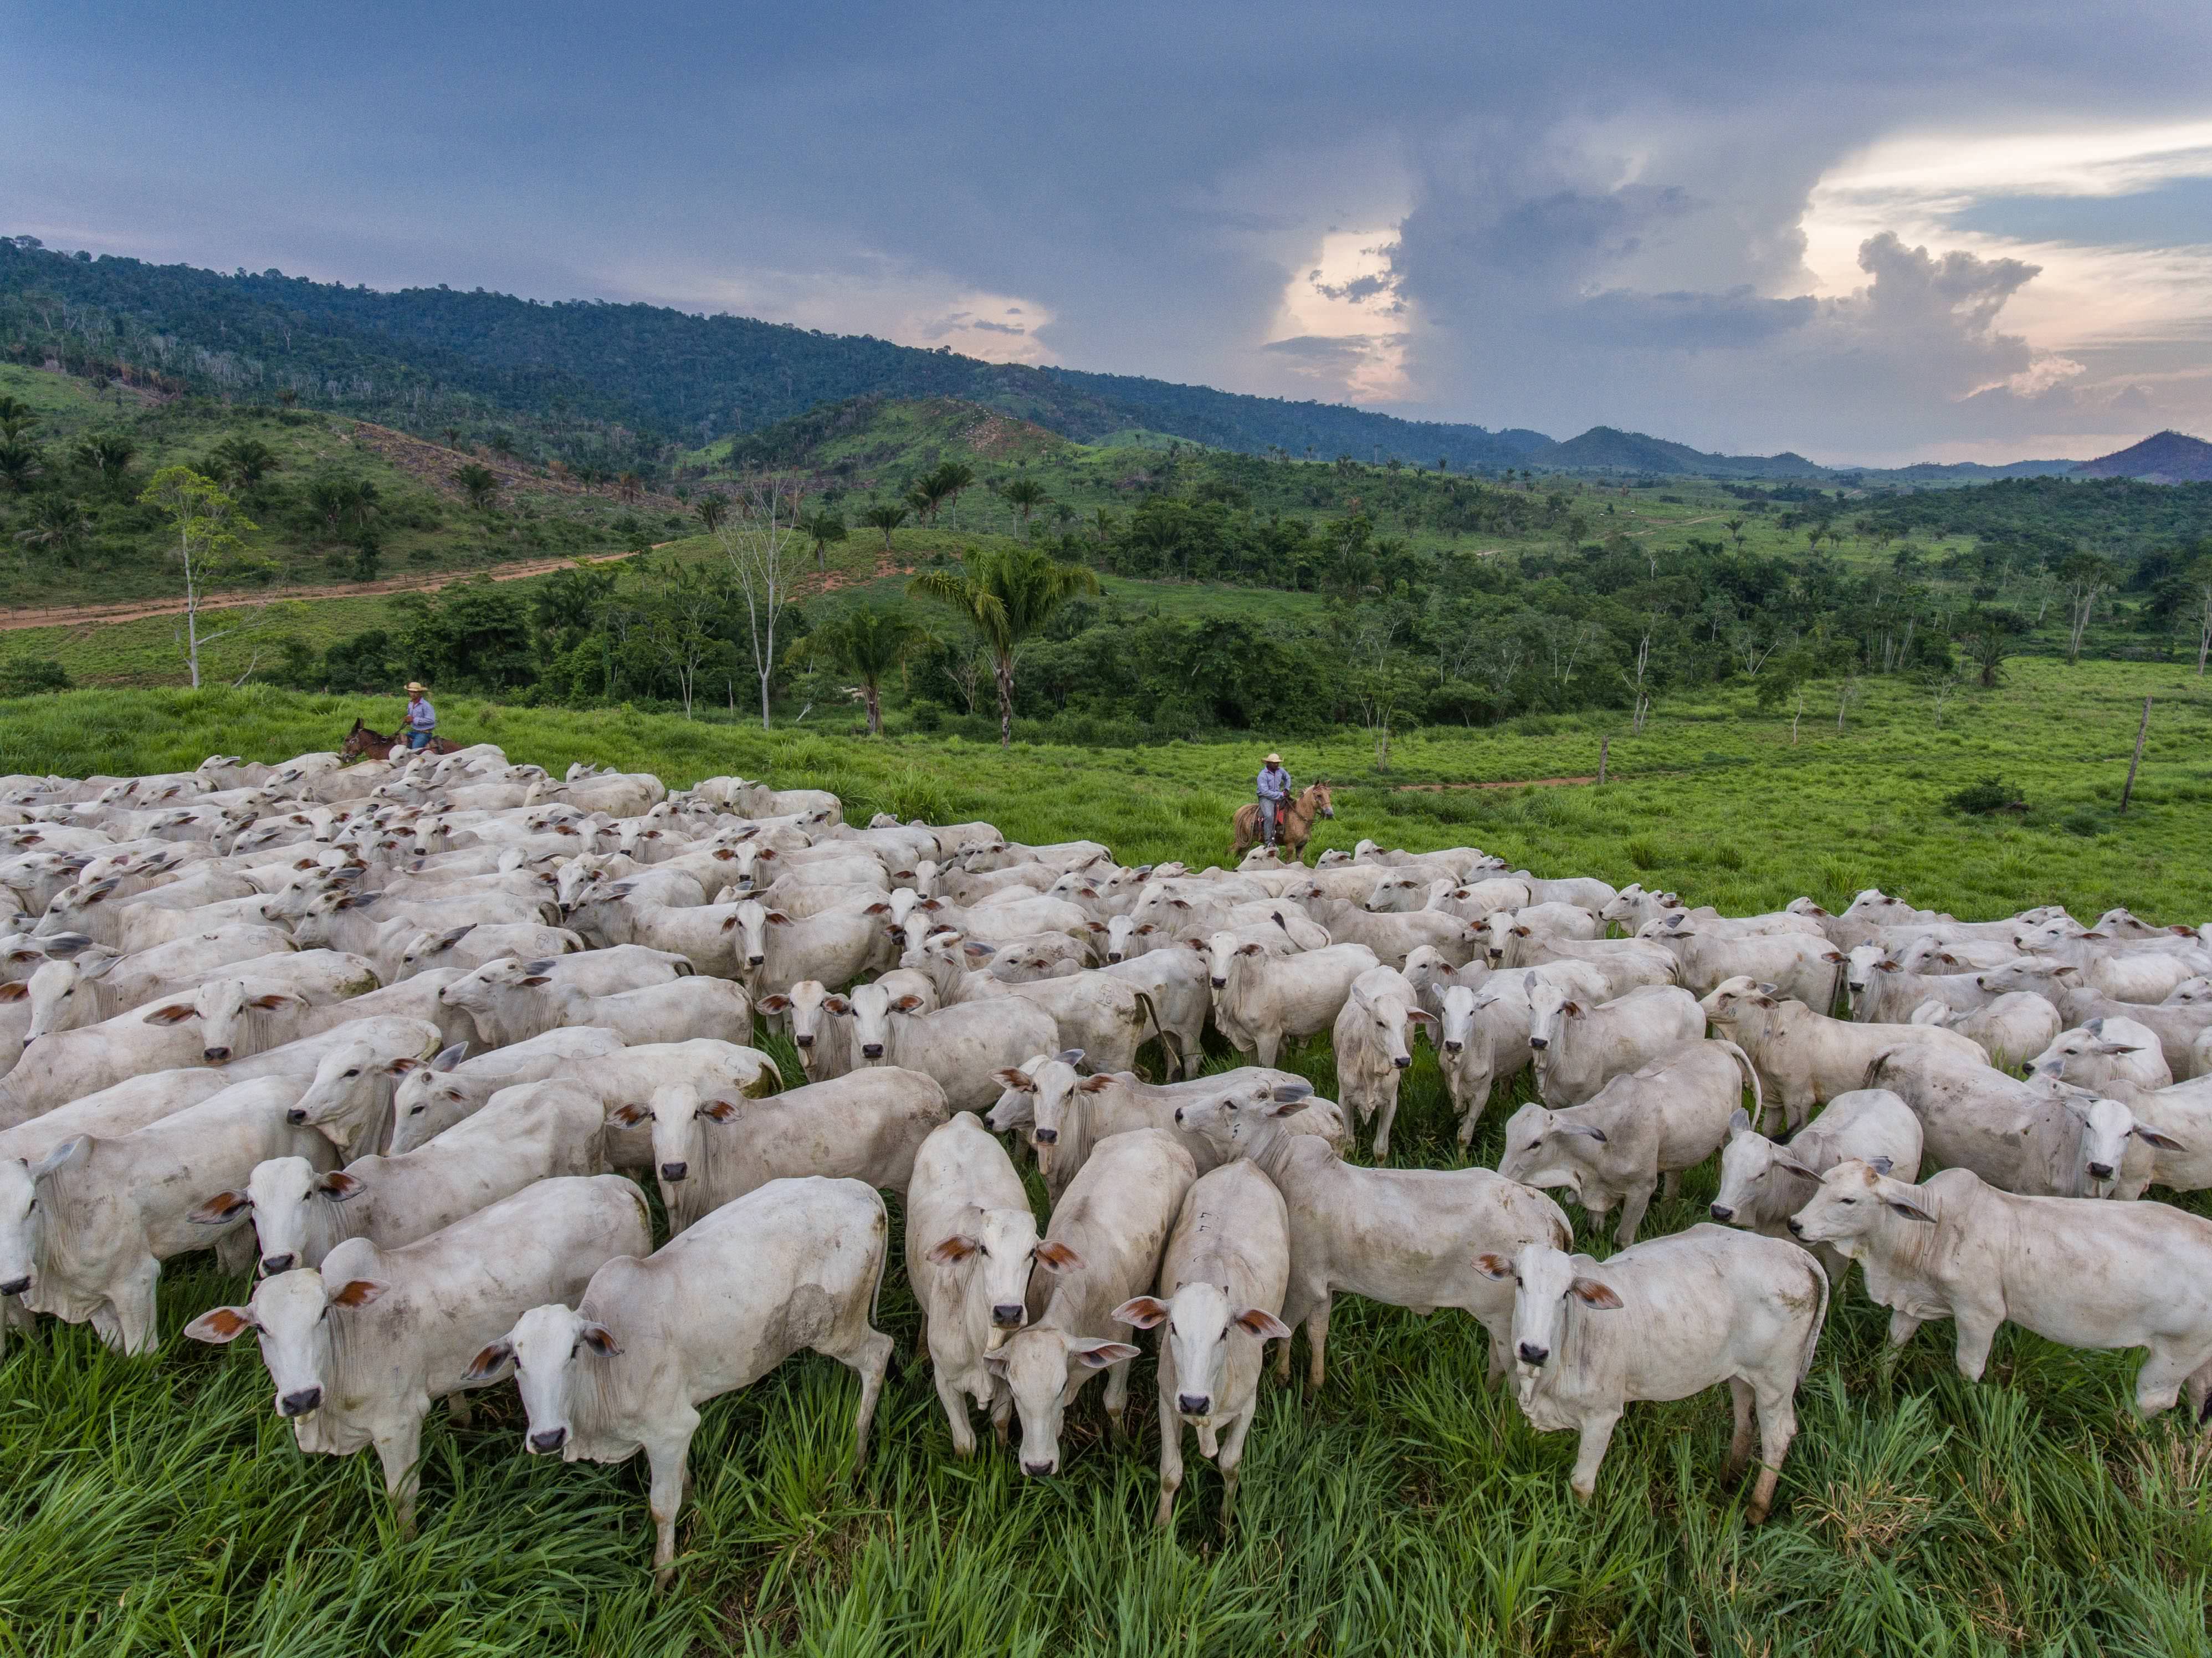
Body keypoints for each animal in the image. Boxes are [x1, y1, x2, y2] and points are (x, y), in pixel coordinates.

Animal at [1230, 784, 1327, 867]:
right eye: (1319, 795)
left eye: (1329, 794)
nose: (1329, 812)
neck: (1299, 816)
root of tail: (1240, 811)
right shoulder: (1290, 846)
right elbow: (1288, 862)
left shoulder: (1302, 846)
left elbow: (1300, 861)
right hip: (1243, 838)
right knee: (1233, 850)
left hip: (1249, 840)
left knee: (1242, 853)